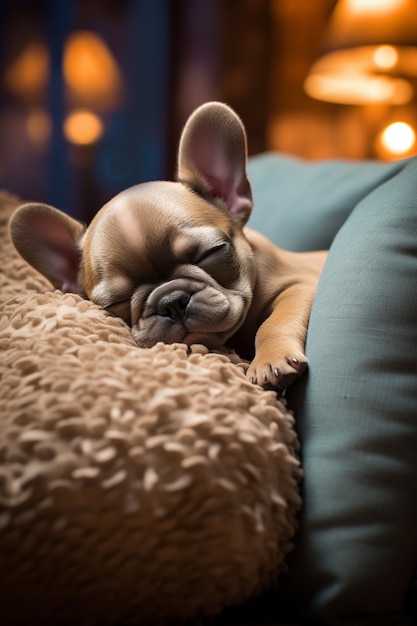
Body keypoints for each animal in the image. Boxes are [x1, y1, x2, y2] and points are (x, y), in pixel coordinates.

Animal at [8, 100, 324, 388]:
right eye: (116, 302)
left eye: (211, 253)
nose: (172, 301)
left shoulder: (299, 285)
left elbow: (274, 323)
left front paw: (270, 361)